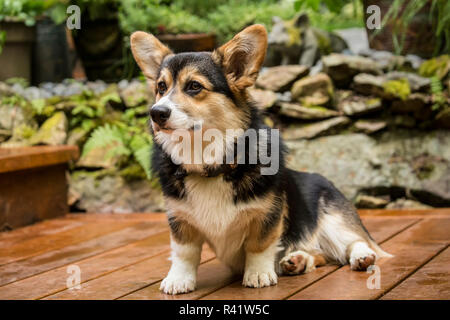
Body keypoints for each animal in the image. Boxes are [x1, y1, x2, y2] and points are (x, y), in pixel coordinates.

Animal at [130, 25, 390, 296]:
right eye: (161, 87)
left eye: (193, 86)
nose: (156, 113)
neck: (209, 162)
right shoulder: (180, 220)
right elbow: (184, 252)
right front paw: (178, 279)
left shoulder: (267, 215)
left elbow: (259, 245)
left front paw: (258, 274)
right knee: (320, 255)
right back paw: (297, 260)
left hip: (334, 219)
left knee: (355, 242)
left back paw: (361, 257)